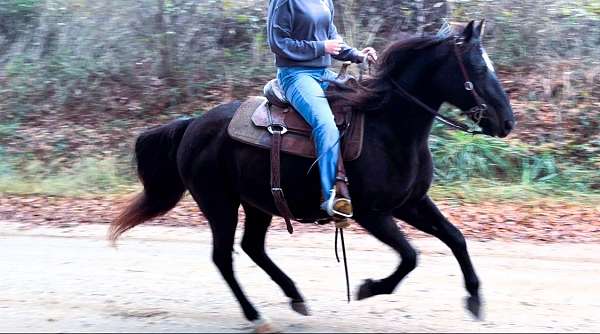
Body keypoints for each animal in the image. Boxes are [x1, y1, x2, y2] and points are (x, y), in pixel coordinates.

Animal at [111, 21, 516, 332]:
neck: (389, 127)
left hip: (258, 203)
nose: (507, 122)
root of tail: (192, 124)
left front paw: (475, 298)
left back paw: (295, 297)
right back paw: (256, 316)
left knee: (252, 247)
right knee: (224, 258)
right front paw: (368, 288)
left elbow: (455, 238)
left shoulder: (411, 203)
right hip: (219, 205)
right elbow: (410, 256)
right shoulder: (371, 214)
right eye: (478, 69)